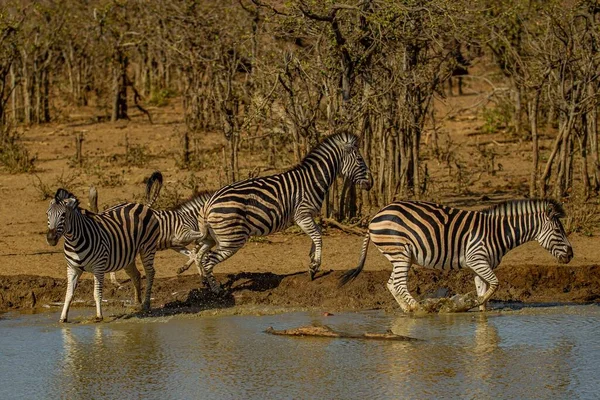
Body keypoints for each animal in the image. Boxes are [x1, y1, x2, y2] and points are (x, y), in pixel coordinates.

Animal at [178, 133, 372, 292]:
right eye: (360, 160)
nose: (371, 184)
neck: (313, 180)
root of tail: (208, 203)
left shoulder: (307, 215)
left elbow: (316, 234)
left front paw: (311, 259)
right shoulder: (302, 214)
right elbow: (318, 235)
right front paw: (315, 265)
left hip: (212, 237)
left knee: (200, 255)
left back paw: (206, 283)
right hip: (232, 239)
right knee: (208, 260)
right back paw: (217, 291)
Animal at [340, 199, 576, 312]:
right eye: (558, 231)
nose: (571, 255)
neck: (498, 232)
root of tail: (374, 217)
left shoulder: (481, 264)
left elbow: (484, 289)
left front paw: (481, 312)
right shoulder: (476, 258)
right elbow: (495, 285)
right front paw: (466, 305)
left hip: (398, 256)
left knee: (391, 284)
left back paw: (407, 309)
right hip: (401, 253)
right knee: (398, 284)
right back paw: (419, 309)